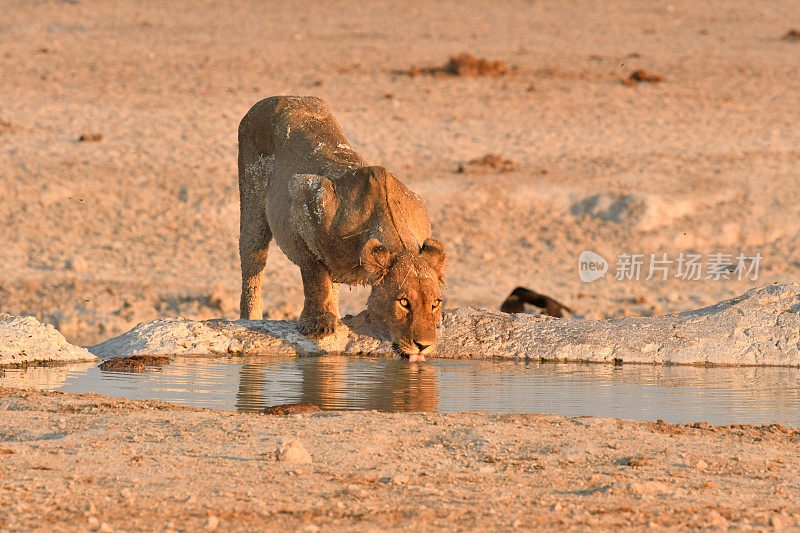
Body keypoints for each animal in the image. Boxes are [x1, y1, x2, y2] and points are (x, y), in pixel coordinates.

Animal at [238, 97, 450, 360]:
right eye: (403, 302)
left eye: (435, 303)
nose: (424, 345)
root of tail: (282, 97)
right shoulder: (301, 197)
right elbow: (314, 274)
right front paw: (319, 323)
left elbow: (325, 280)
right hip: (252, 203)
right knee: (252, 266)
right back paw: (250, 319)